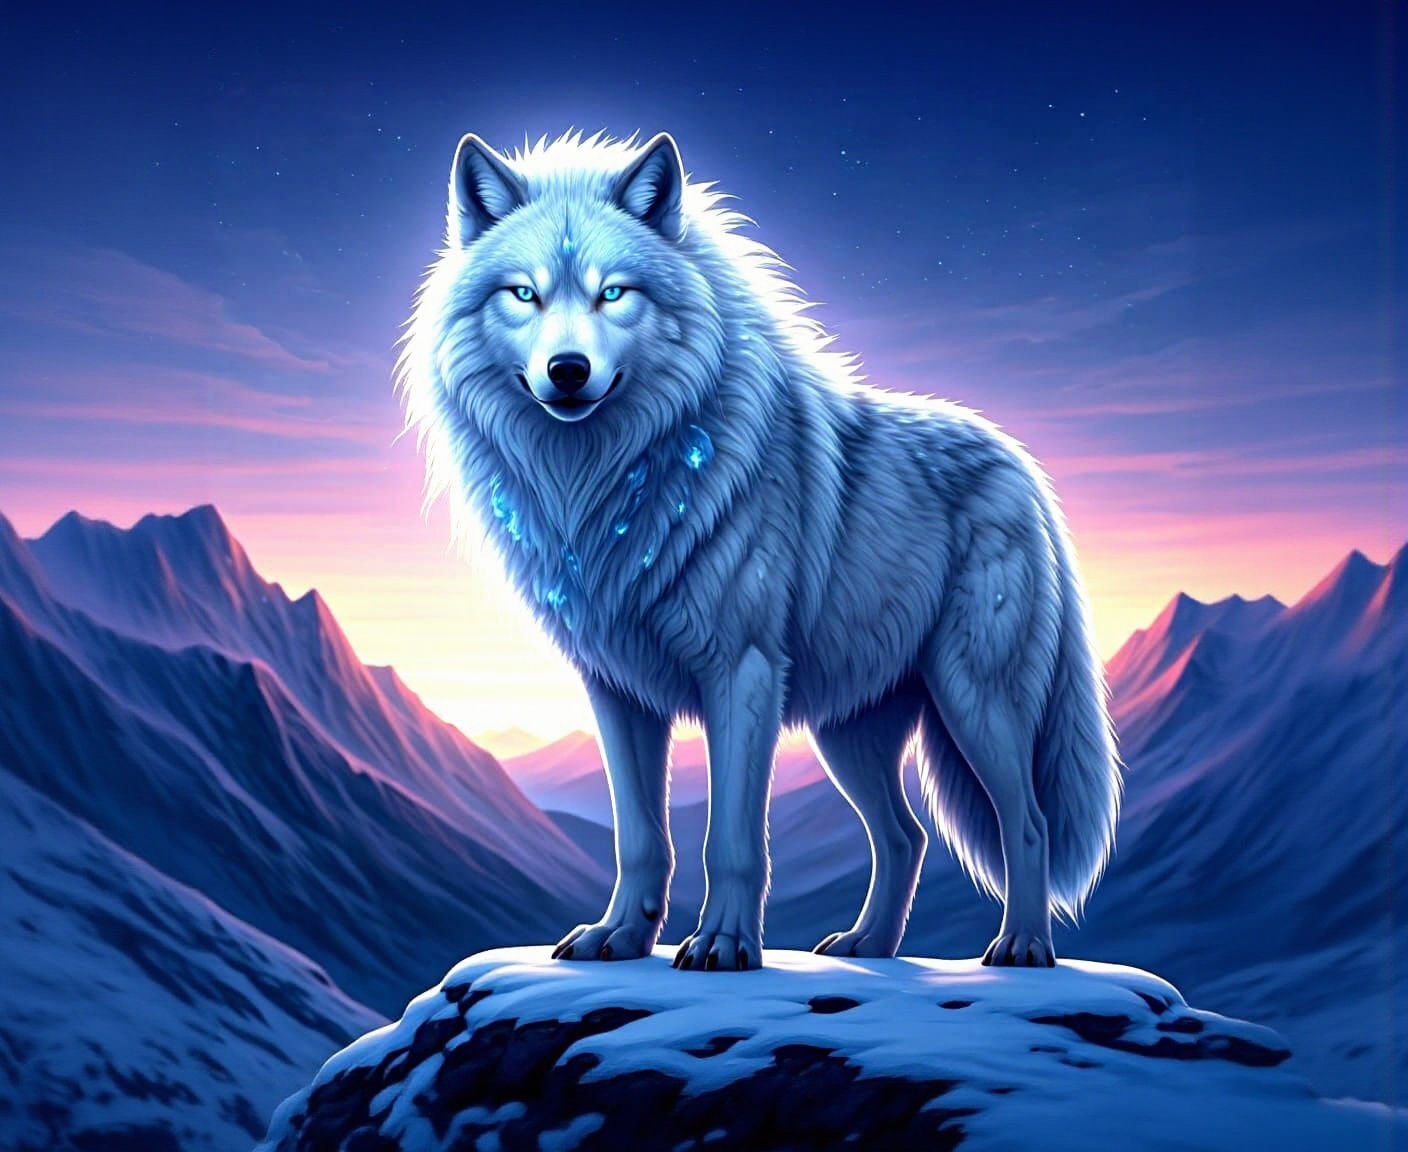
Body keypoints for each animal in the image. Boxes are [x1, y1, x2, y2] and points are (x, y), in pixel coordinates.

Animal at [398, 130, 1122, 970]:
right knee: (904, 836)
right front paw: (620, 936)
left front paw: (722, 944)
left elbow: (733, 840)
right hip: (850, 731)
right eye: (524, 294)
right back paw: (870, 945)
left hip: (975, 699)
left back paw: (1022, 947)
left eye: (614, 293)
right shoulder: (615, 690)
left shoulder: (740, 672)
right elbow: (639, 839)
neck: (610, 482)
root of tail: (1025, 468)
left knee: (1026, 823)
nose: (568, 370)